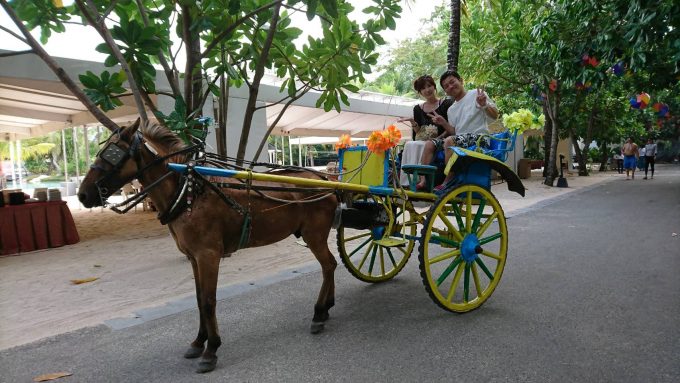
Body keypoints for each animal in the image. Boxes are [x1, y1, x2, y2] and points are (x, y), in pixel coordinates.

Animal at [78, 121, 338, 374]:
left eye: (112, 153)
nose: (83, 195)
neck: (188, 190)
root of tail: (327, 181)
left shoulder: (208, 255)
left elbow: (208, 300)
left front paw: (211, 349)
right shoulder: (193, 257)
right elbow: (198, 297)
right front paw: (198, 342)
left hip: (314, 235)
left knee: (328, 266)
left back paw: (318, 312)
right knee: (331, 265)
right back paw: (326, 308)